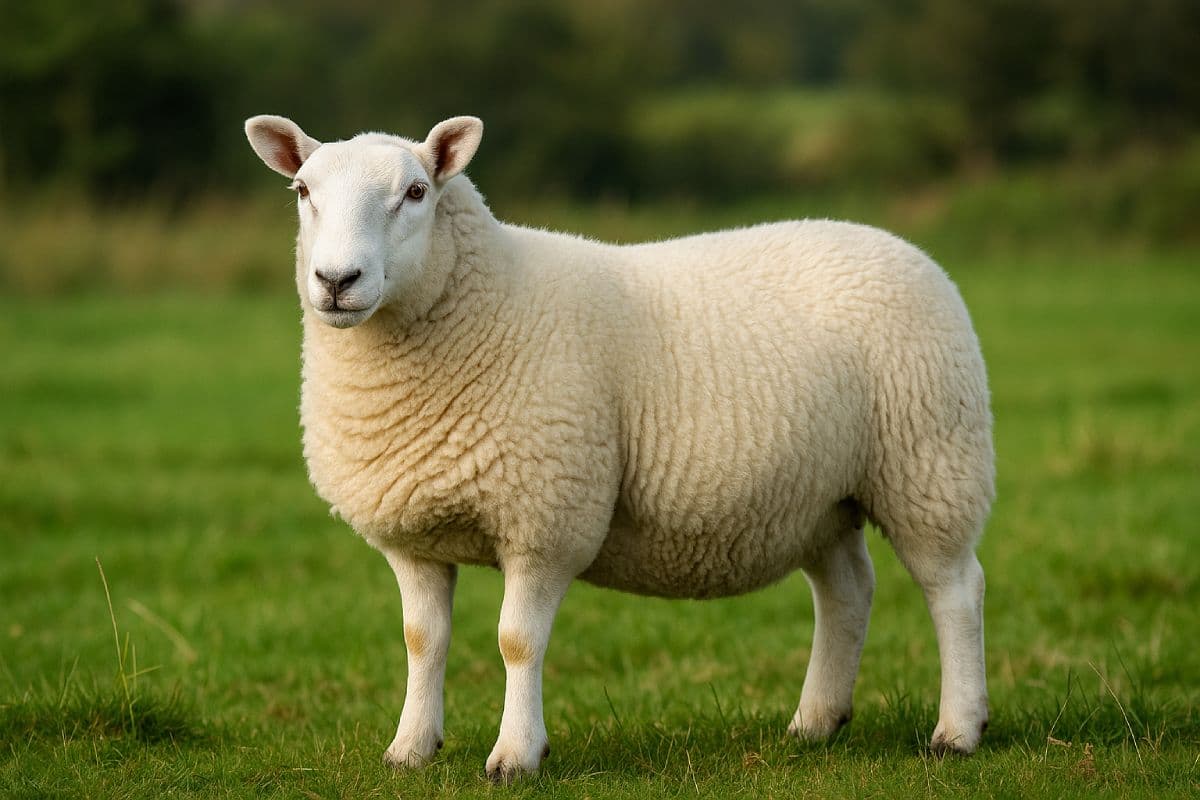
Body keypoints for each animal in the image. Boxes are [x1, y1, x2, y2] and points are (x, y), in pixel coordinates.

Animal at [244, 114, 995, 782]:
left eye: (416, 191)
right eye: (303, 191)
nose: (336, 281)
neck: (483, 302)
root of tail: (901, 246)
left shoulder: (547, 515)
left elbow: (517, 642)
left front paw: (516, 756)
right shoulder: (413, 533)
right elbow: (421, 641)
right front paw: (410, 749)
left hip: (931, 462)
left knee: (954, 590)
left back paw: (957, 731)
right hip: (821, 497)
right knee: (846, 592)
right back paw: (815, 723)